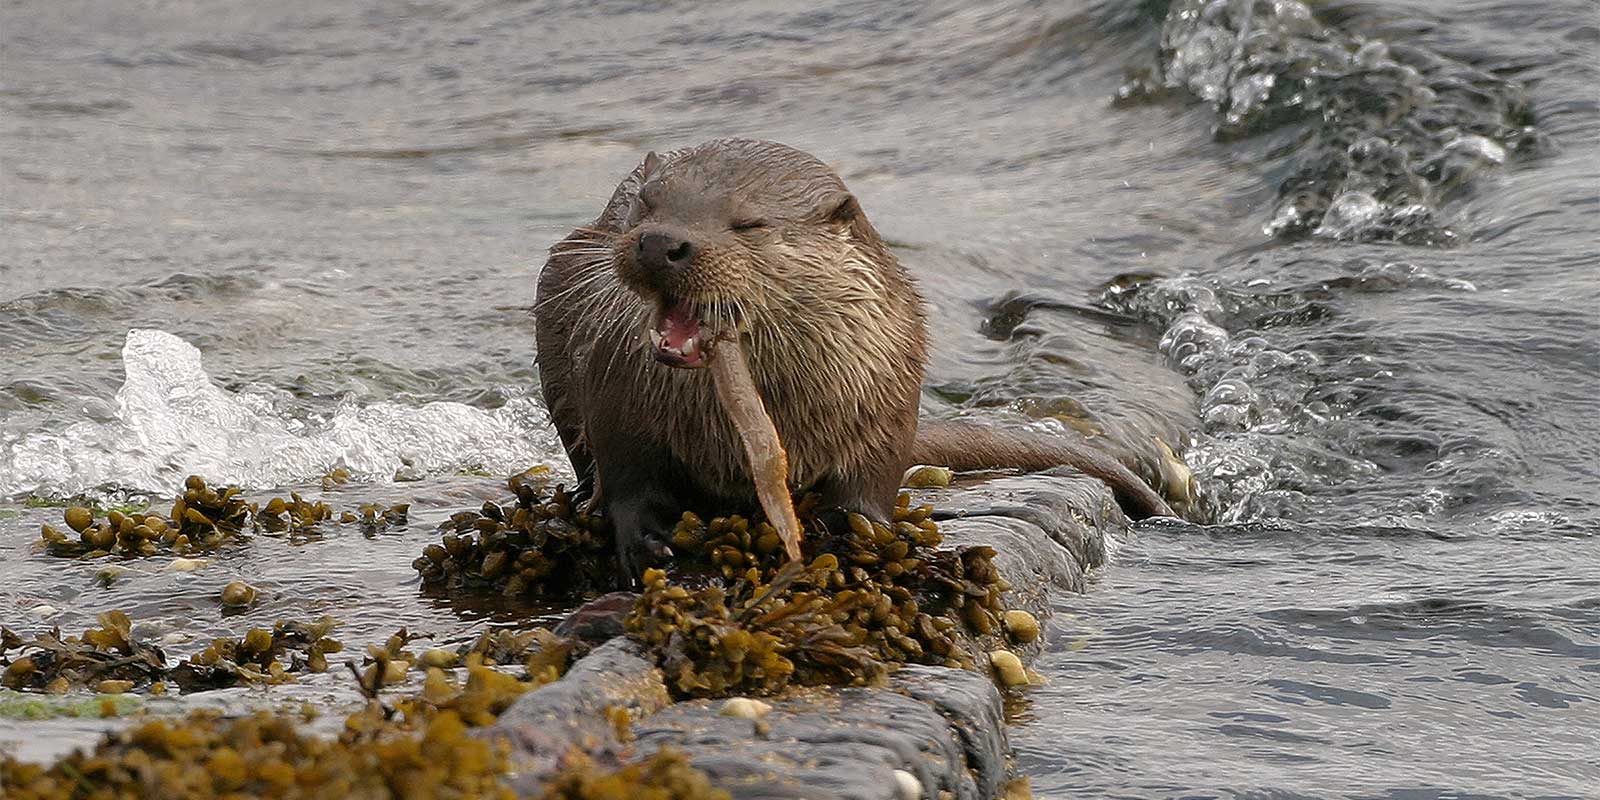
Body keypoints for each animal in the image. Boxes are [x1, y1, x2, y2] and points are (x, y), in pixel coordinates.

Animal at [535, 138, 1174, 579]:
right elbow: (627, 475)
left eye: (748, 222)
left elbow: (871, 483)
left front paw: (865, 535)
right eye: (647, 204)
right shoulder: (617, 394)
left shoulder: (890, 395)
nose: (659, 241)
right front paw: (644, 539)